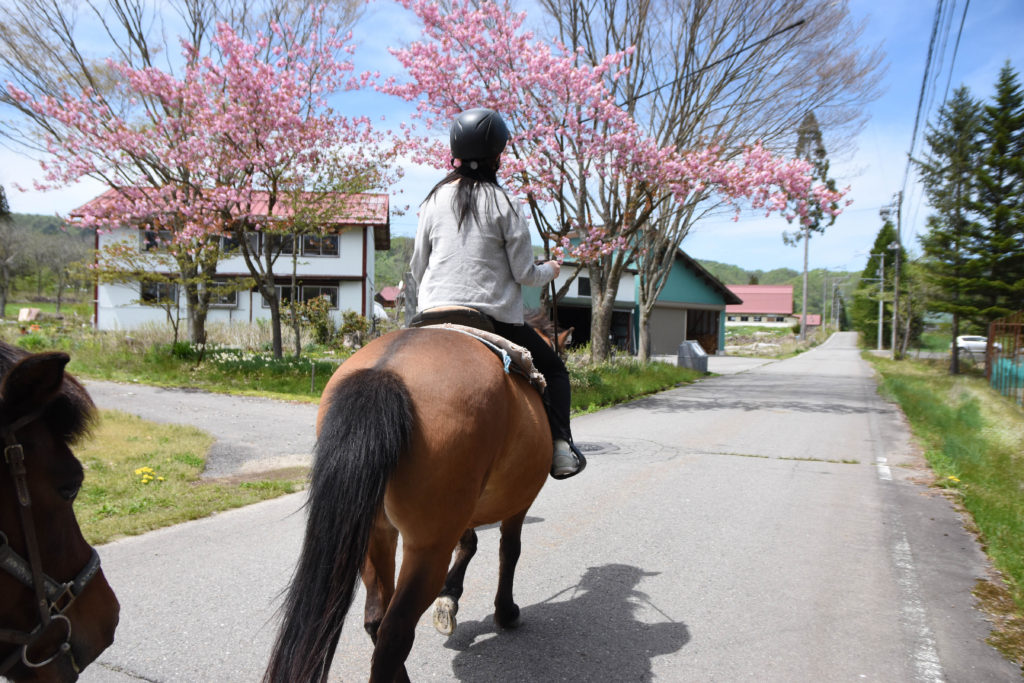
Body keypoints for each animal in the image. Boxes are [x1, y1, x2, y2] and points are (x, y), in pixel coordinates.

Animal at [264, 327, 552, 683]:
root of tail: (386, 371)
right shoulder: (519, 502)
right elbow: (509, 551)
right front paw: (505, 611)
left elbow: (470, 543)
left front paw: (450, 596)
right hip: (427, 548)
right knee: (395, 632)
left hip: (374, 534)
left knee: (377, 618)